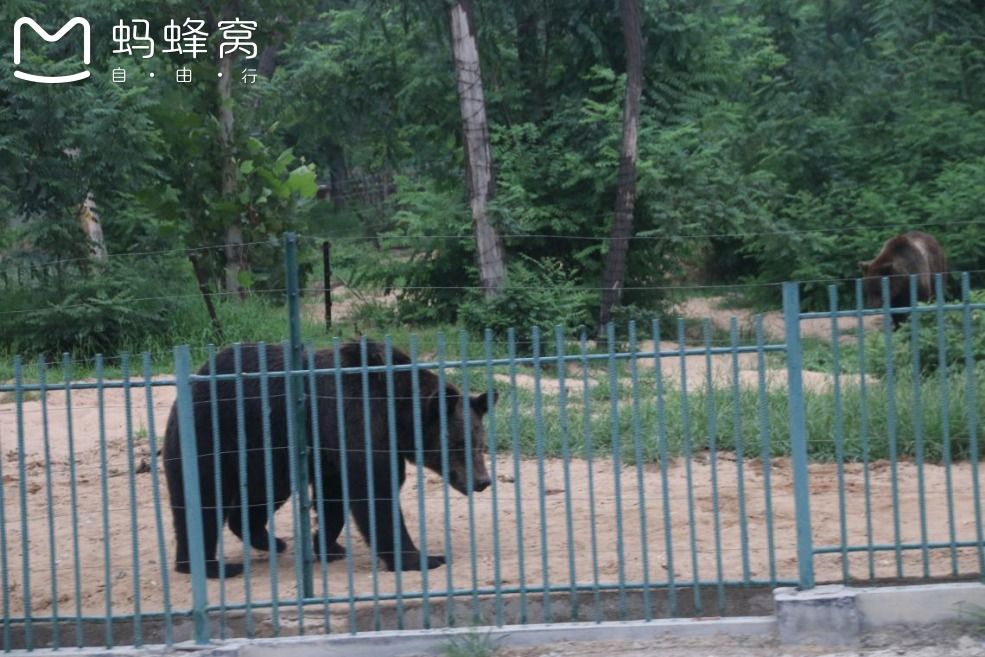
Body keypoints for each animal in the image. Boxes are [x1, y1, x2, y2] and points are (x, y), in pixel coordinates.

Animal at [166, 340, 500, 576]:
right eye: (458, 444)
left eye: (480, 444)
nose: (482, 481)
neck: (396, 413)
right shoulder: (354, 419)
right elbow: (374, 492)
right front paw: (423, 558)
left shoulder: (336, 448)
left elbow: (335, 498)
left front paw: (328, 545)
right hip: (213, 435)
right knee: (202, 500)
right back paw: (210, 565)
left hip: (263, 456)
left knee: (261, 496)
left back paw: (270, 540)